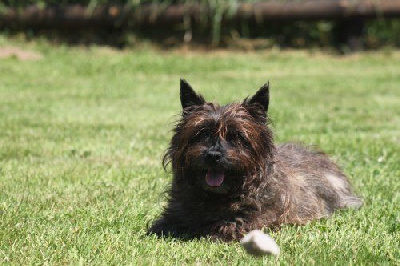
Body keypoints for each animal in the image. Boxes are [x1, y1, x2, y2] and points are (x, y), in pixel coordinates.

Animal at [149, 79, 362, 241]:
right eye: (202, 133)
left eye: (237, 136)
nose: (213, 155)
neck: (217, 197)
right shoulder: (174, 213)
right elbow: (161, 226)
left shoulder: (261, 217)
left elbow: (233, 225)